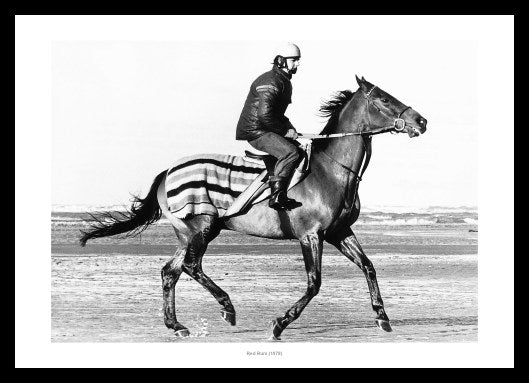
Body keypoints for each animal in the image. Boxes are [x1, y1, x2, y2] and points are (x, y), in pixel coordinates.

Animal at [78, 76, 426, 340]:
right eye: (383, 99)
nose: (420, 121)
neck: (330, 170)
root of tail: (167, 172)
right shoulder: (310, 235)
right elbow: (314, 283)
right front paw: (280, 323)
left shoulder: (339, 232)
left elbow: (368, 266)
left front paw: (382, 316)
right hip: (203, 227)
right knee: (191, 266)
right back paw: (227, 308)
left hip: (188, 233)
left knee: (170, 272)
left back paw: (176, 325)